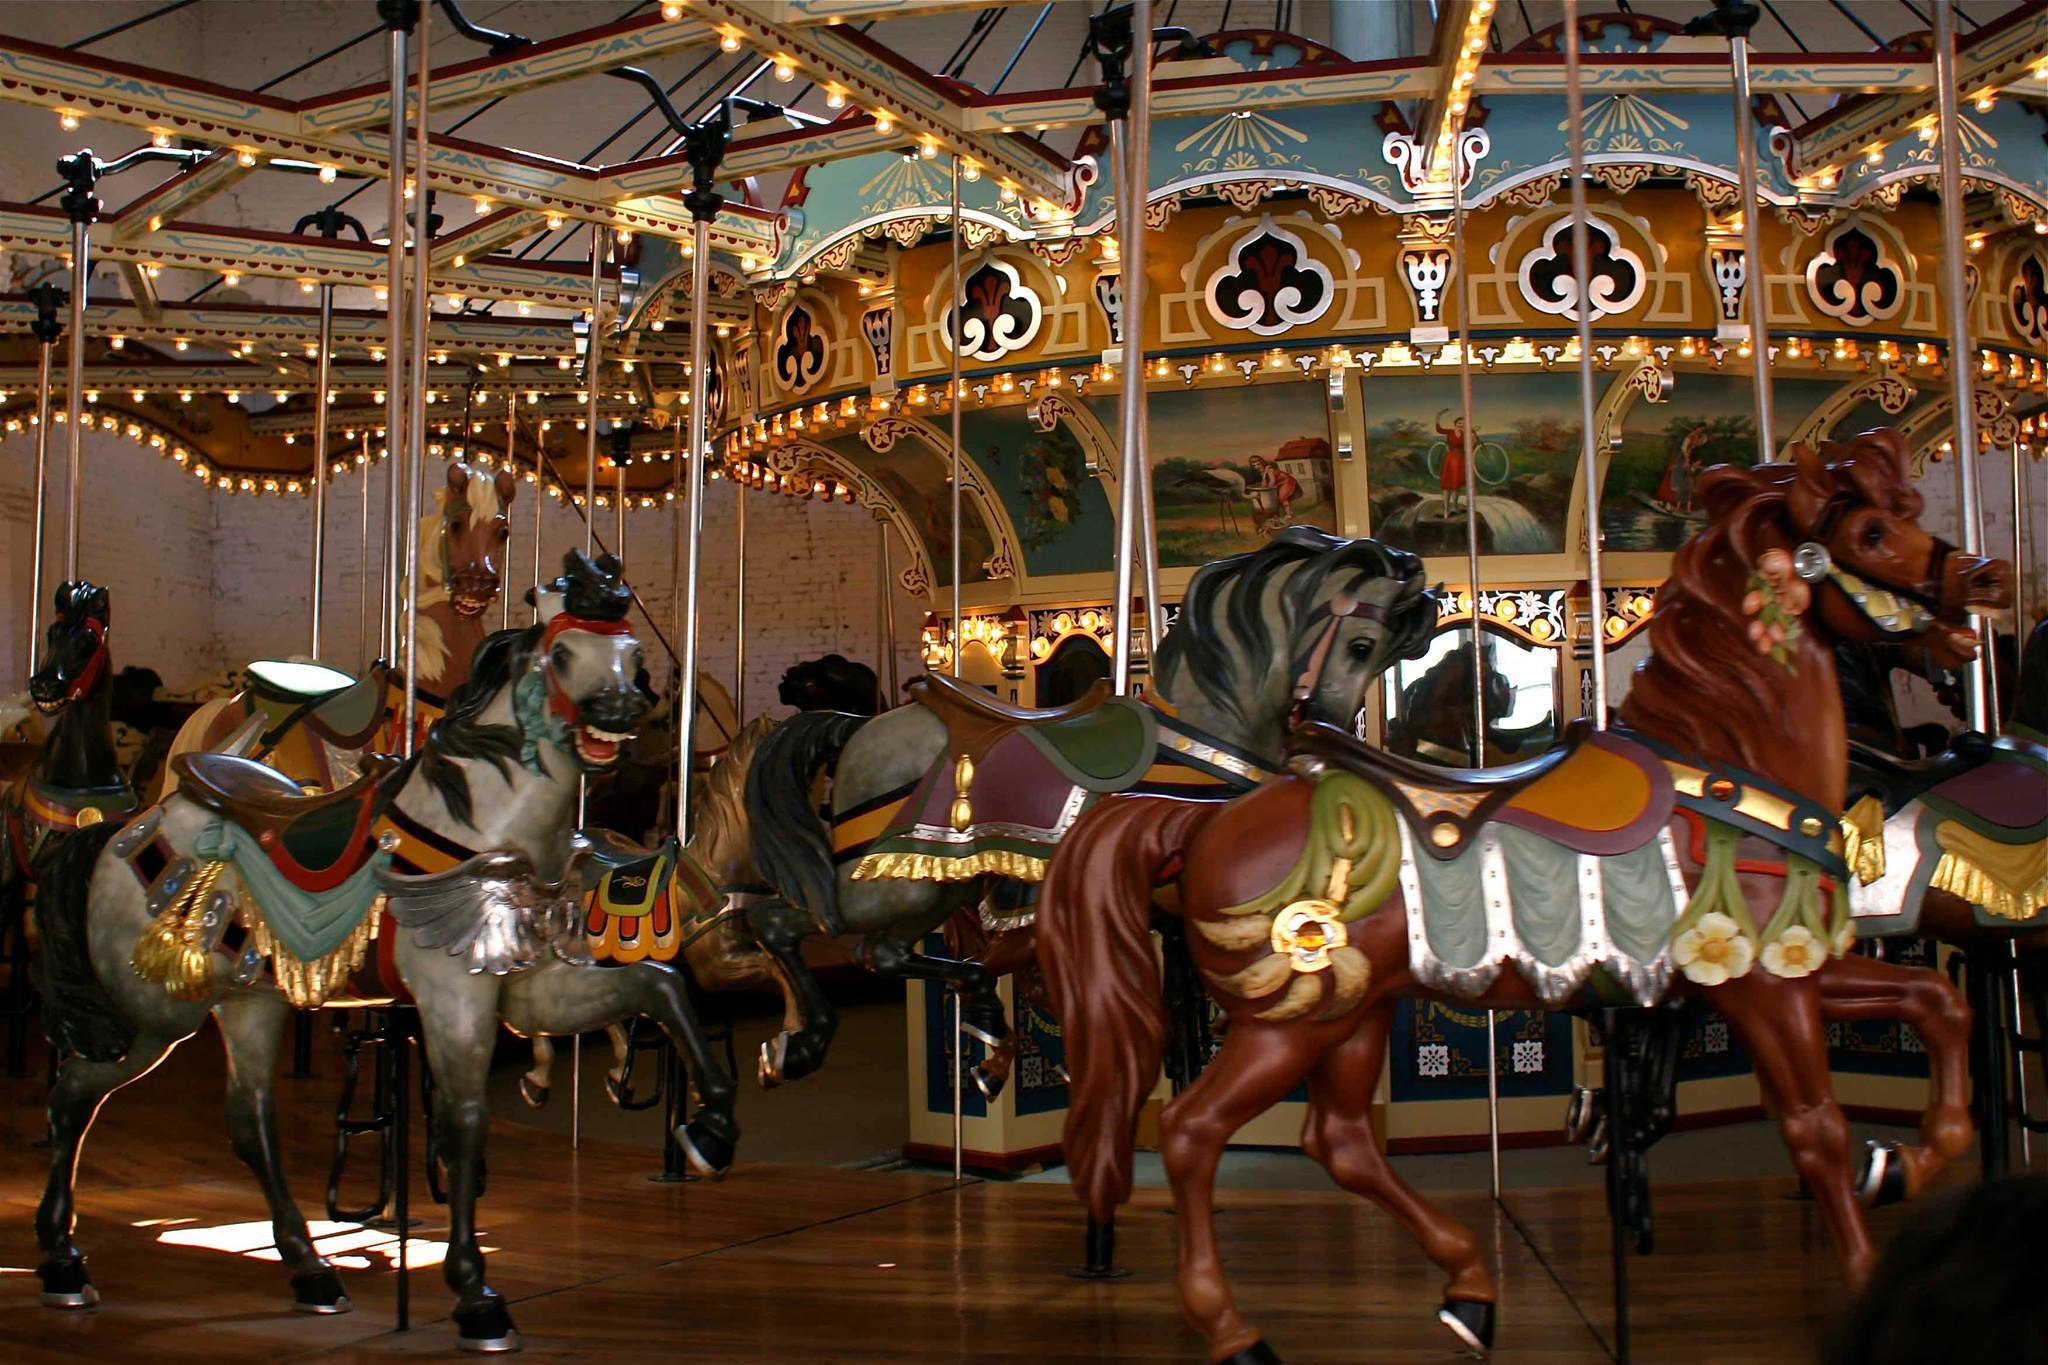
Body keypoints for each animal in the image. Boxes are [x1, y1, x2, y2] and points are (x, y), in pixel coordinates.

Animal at [29, 551, 740, 1351]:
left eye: (635, 657)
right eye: (563, 655)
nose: (618, 712)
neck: (490, 826)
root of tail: (119, 826)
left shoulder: (530, 987)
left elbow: (660, 985)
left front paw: (709, 1135)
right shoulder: (453, 995)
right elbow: (464, 1122)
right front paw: (477, 1297)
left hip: (248, 996)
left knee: (247, 1119)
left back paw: (311, 1274)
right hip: (156, 1008)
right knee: (73, 1096)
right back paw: (62, 1264)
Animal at [741, 528, 1436, 1099]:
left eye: (1384, 656)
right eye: (1362, 644)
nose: (1329, 725)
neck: (1207, 735)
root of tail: (859, 729)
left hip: (935, 886)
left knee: (882, 955)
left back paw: (986, 1041)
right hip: (880, 883)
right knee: (779, 922)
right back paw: (793, 1048)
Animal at [1039, 431, 2012, 1362]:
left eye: (1911, 507)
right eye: (1871, 532)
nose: (1986, 580)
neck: (1730, 769)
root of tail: (1203, 819)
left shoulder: (1793, 966)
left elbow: (1941, 1007)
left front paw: (1903, 1164)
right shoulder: (1766, 987)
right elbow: (1815, 1127)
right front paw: (1867, 1254)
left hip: (1351, 1010)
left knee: (1340, 1139)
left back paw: (1471, 1292)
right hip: (1290, 1019)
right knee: (1194, 1131)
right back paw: (1238, 1331)